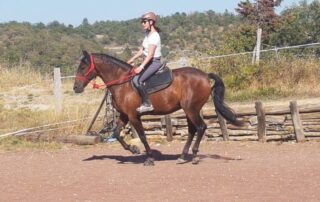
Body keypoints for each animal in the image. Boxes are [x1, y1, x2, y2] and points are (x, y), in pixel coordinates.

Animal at [73, 50, 242, 166]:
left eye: (83, 67)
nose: (76, 88)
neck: (122, 83)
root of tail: (205, 76)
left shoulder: (133, 116)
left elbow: (142, 136)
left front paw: (149, 158)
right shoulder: (124, 115)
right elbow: (116, 133)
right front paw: (134, 150)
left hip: (191, 109)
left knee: (201, 128)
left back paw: (193, 156)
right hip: (189, 110)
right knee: (192, 130)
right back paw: (182, 156)